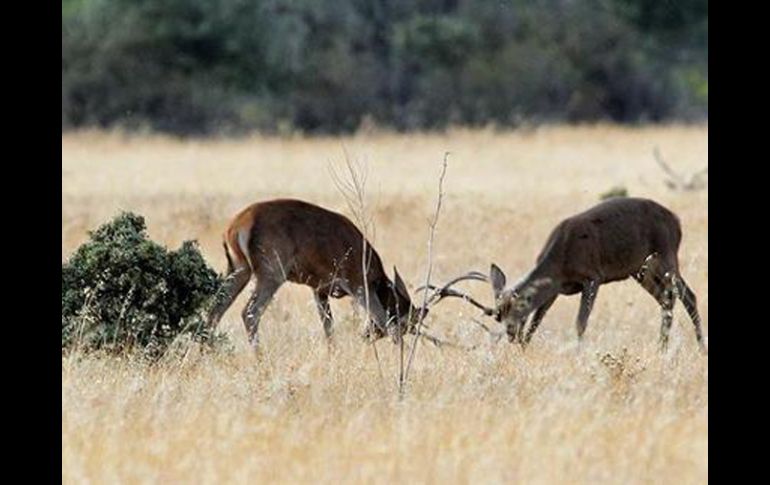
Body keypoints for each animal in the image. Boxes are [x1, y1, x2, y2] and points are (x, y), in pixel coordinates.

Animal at [207, 198, 424, 348]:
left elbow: (328, 327)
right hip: (271, 274)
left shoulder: (319, 289)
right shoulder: (358, 284)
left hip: (239, 269)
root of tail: (234, 228)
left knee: (216, 309)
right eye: (405, 323)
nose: (366, 336)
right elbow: (383, 320)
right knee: (250, 312)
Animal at [424, 197, 704, 352]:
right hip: (639, 269)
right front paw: (525, 349)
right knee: (667, 298)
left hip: (666, 253)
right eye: (498, 314)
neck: (560, 259)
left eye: (518, 308)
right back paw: (662, 348)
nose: (510, 334)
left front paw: (578, 352)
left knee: (688, 295)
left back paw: (700, 347)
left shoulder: (592, 276)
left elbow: (580, 322)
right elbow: (536, 324)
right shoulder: (555, 288)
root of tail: (677, 220)